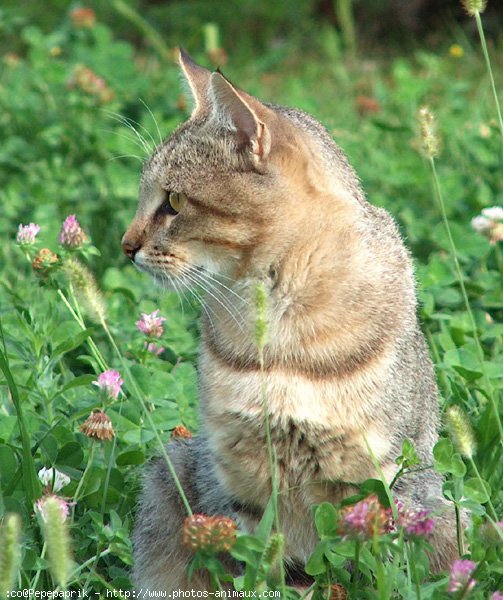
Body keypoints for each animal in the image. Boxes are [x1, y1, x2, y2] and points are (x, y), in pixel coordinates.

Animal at [122, 49, 460, 592]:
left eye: (173, 202)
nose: (125, 246)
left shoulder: (379, 478)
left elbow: (372, 568)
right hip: (166, 482)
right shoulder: (241, 479)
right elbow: (262, 563)